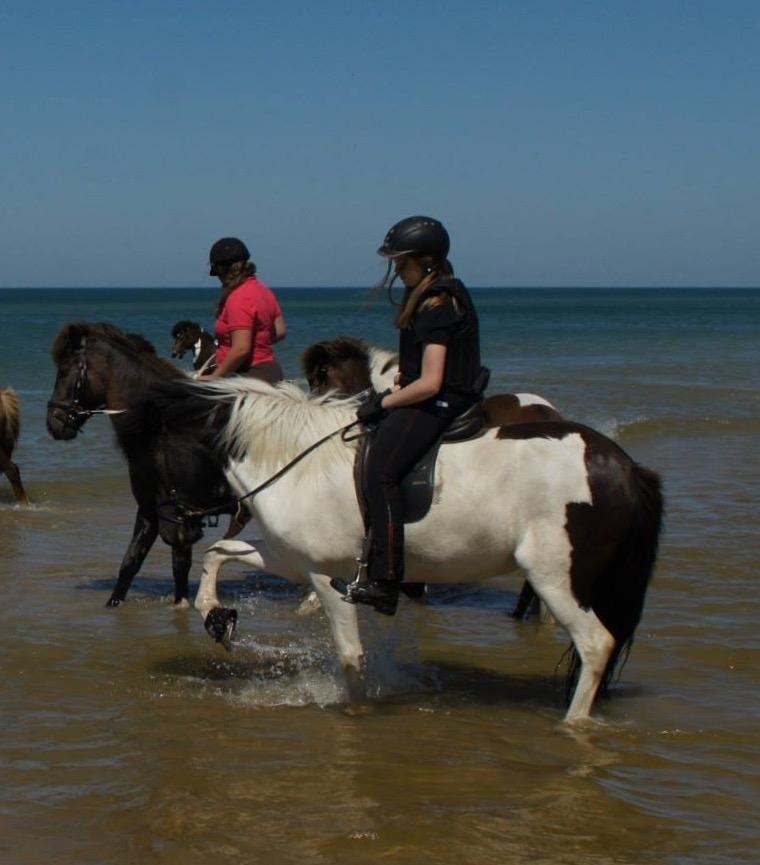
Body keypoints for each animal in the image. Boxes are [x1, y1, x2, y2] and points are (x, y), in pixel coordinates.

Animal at [46, 318, 236, 608]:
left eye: (65, 370)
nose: (52, 423)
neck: (163, 427)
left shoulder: (179, 519)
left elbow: (180, 569)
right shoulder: (149, 510)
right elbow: (130, 563)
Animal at [163, 378, 664, 724]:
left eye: (156, 460)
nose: (169, 529)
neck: (297, 460)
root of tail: (622, 466)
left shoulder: (327, 575)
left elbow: (350, 653)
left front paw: (357, 709)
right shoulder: (294, 560)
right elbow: (221, 551)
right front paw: (216, 617)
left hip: (555, 577)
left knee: (596, 644)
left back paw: (574, 724)